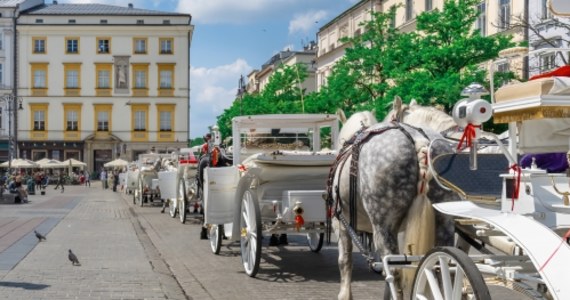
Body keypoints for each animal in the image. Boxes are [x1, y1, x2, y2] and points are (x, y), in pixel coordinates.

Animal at [330, 99, 460, 298]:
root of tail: (418, 139)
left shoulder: (340, 222)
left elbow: (345, 260)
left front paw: (345, 295)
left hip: (383, 226)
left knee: (394, 271)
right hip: (444, 222)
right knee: (444, 267)